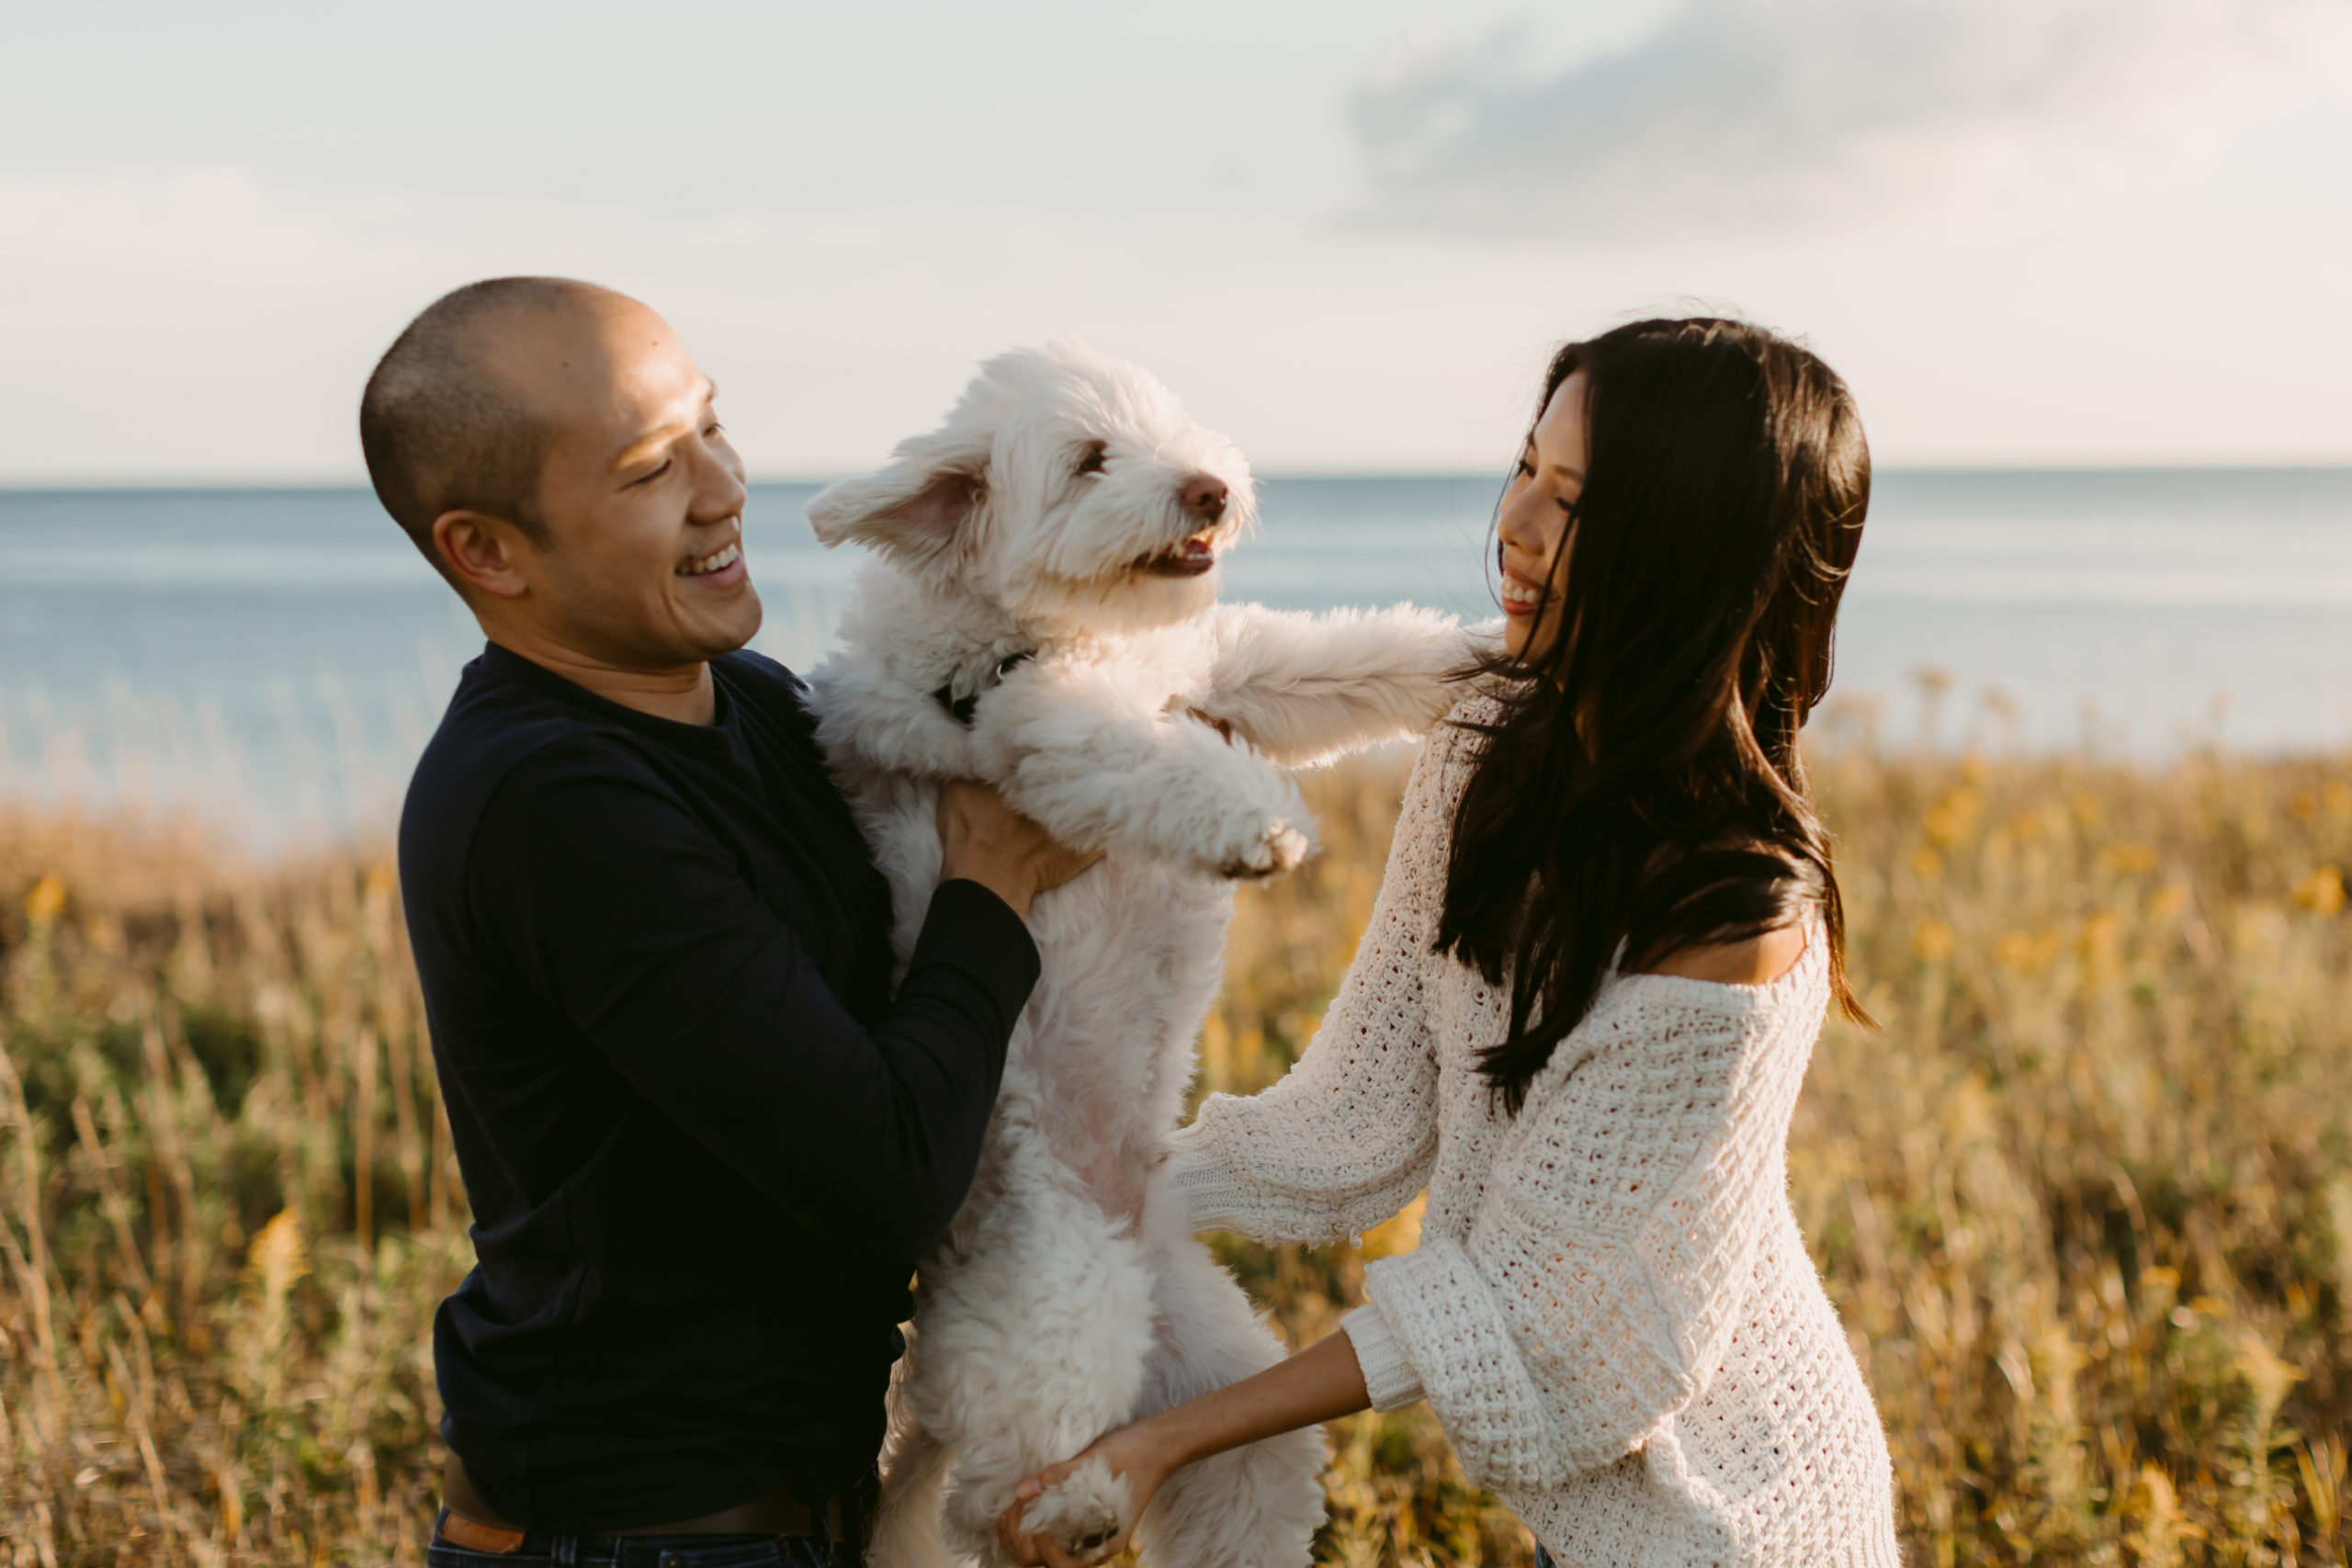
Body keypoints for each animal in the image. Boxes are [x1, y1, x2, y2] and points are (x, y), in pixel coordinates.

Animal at [808, 345, 1467, 1568]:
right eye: (1089, 460)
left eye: (1168, 431)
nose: (1207, 488)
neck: (1074, 627)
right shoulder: (1044, 730)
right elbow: (1146, 756)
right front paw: (1256, 825)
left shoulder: (1222, 671)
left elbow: (1335, 658)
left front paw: (1472, 654)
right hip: (1063, 1305)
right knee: (984, 1499)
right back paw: (1073, 1505)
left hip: (1224, 1393)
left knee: (1226, 1480)